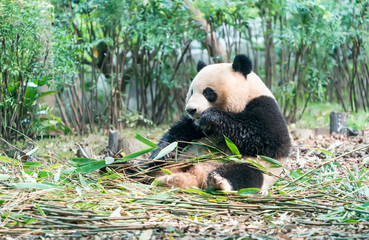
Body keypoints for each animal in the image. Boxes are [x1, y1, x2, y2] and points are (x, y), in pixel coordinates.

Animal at [148, 54, 288, 193]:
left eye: (207, 92)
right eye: (192, 91)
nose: (190, 110)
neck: (247, 95)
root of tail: (197, 176)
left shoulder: (265, 107)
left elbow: (266, 139)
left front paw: (211, 116)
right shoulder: (193, 125)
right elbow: (178, 133)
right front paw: (162, 153)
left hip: (253, 165)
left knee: (246, 173)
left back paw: (218, 182)